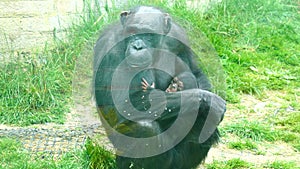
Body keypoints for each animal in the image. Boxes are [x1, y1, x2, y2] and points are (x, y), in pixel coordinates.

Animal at [94, 5, 225, 169]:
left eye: (149, 34)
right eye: (133, 31)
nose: (137, 46)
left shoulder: (179, 36)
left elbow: (195, 72)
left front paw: (207, 100)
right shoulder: (111, 49)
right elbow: (128, 104)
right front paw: (210, 100)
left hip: (178, 160)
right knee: (144, 128)